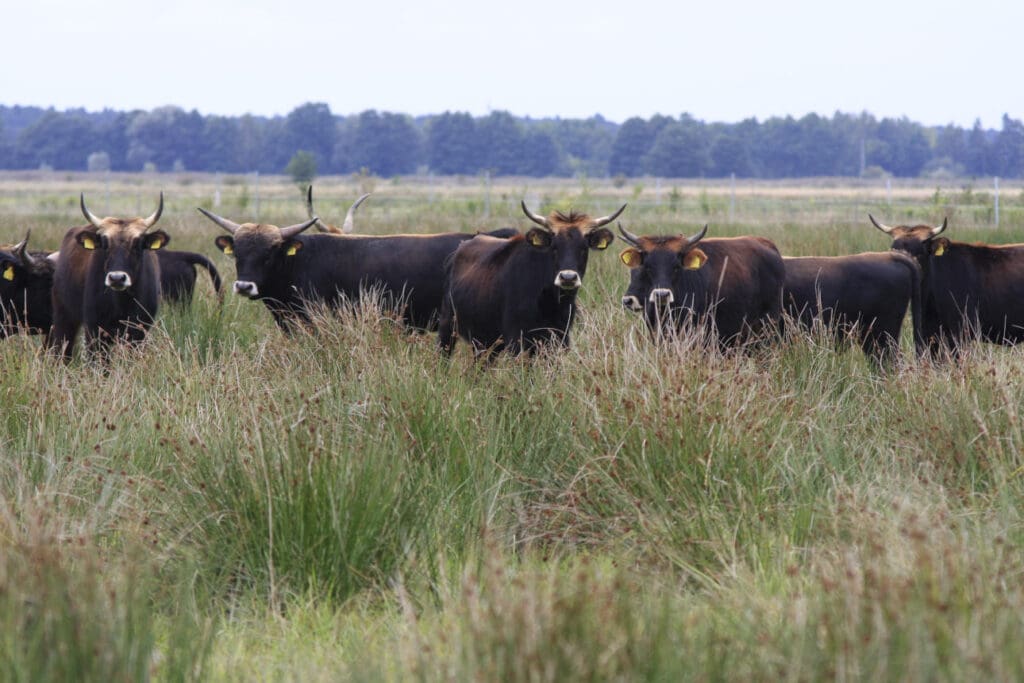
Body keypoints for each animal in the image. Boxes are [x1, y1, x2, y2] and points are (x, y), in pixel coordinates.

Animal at [46, 192, 168, 360]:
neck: (121, 303)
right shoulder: (94, 331)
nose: (117, 278)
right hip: (64, 318)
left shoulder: (138, 332)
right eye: (104, 244)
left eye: (137, 244)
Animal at [436, 200, 618, 358]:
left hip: (484, 342)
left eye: (583, 248)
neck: (550, 303)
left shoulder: (559, 340)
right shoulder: (517, 341)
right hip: (447, 328)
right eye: (554, 247)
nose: (568, 277)